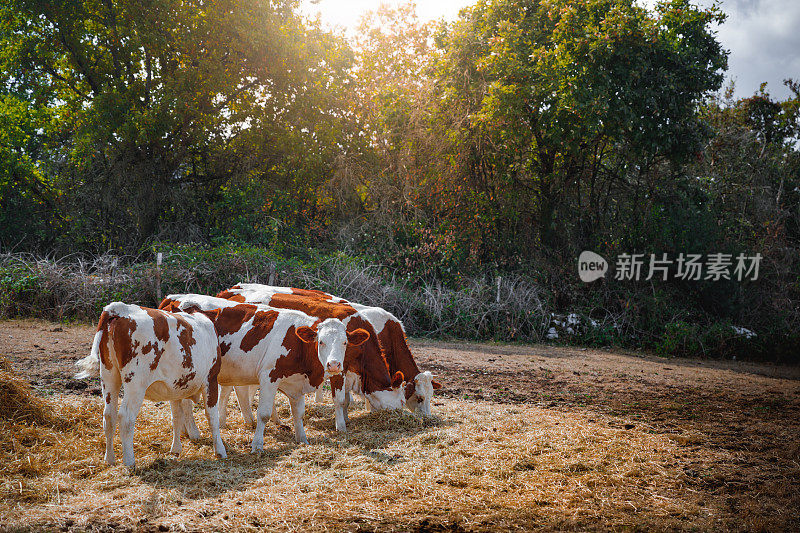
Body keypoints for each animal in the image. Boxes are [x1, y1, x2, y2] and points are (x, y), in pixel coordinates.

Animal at [75, 302, 227, 468]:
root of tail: (120, 308)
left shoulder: (175, 387)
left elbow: (176, 417)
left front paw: (176, 449)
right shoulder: (211, 380)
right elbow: (212, 417)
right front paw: (220, 450)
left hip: (109, 376)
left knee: (109, 416)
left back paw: (109, 459)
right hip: (136, 383)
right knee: (126, 417)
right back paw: (129, 461)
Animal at [157, 294, 368, 446]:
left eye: (345, 342)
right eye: (321, 341)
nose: (334, 365)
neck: (297, 344)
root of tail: (172, 301)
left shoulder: (296, 384)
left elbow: (298, 413)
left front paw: (302, 439)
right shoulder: (268, 378)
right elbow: (264, 413)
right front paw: (257, 444)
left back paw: (186, 431)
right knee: (185, 403)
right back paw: (193, 432)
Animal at [216, 284, 440, 418]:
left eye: (431, 397)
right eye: (419, 397)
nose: (427, 419)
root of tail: (230, 290)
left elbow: (348, 399)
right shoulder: (342, 369)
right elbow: (342, 399)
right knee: (232, 388)